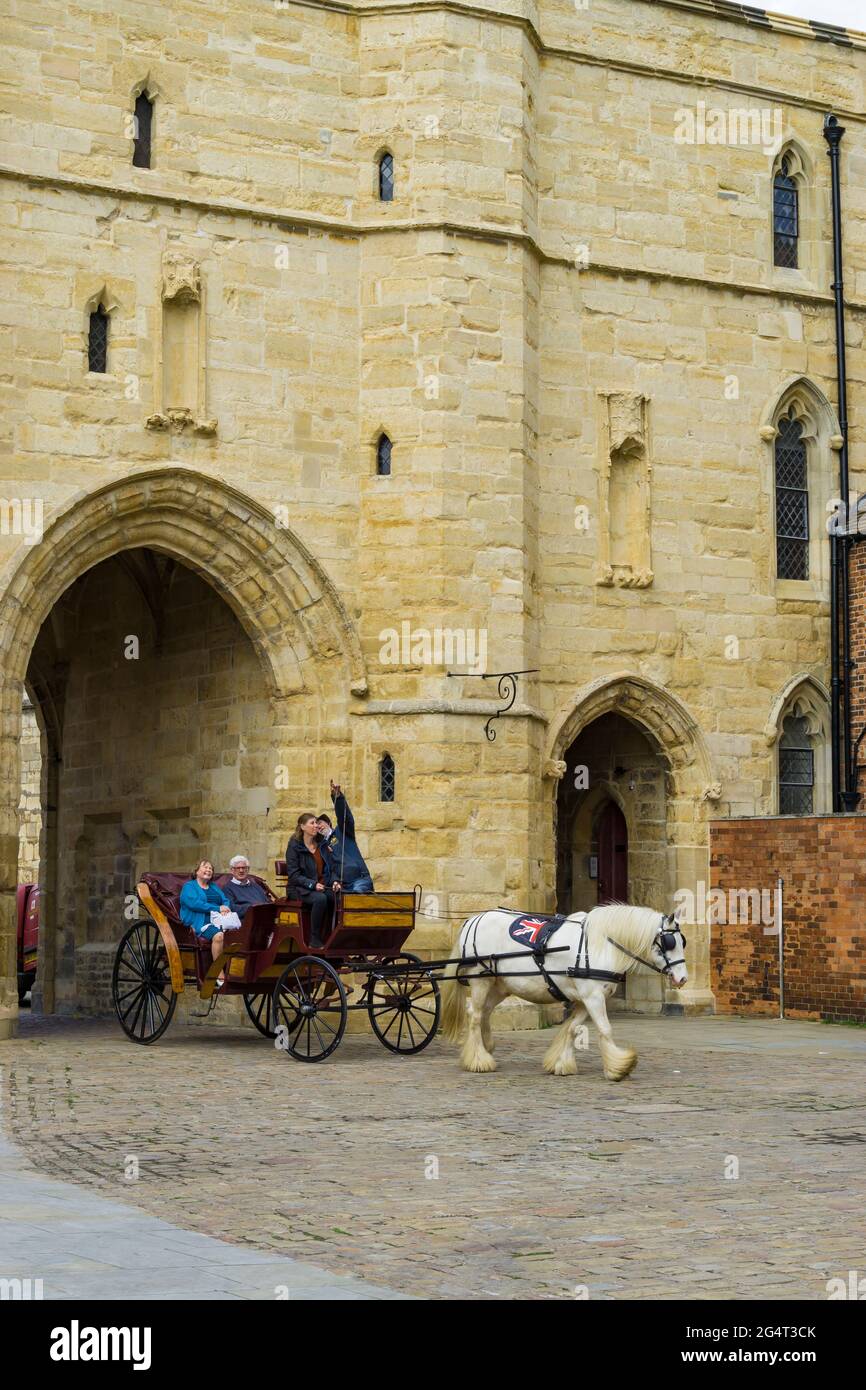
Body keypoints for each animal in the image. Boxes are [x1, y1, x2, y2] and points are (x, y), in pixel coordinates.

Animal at [444, 906, 686, 1078]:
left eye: (682, 942)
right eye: (669, 942)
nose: (682, 979)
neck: (599, 946)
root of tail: (473, 919)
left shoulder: (583, 1000)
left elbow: (572, 1029)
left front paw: (561, 1063)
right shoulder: (593, 997)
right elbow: (605, 1029)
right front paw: (619, 1067)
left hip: (500, 985)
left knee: (482, 1012)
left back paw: (486, 1047)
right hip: (481, 981)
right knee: (475, 1015)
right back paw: (479, 1060)